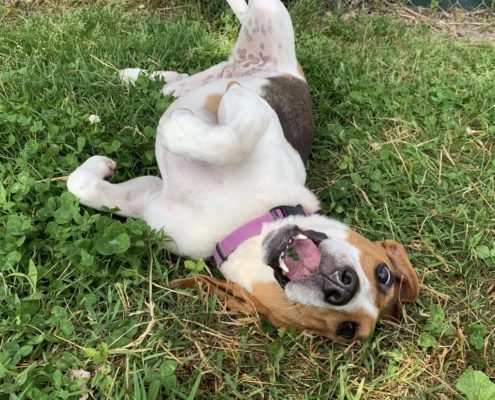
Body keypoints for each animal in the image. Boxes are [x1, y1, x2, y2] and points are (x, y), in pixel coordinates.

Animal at [69, 0, 418, 342]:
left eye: (346, 330)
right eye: (383, 273)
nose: (342, 286)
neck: (245, 220)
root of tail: (239, 62)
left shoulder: (150, 201)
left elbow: (82, 186)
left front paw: (139, 146)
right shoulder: (250, 105)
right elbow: (231, 138)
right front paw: (176, 129)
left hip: (203, 73)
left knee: (179, 81)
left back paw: (139, 78)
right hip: (272, 14)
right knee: (246, 20)